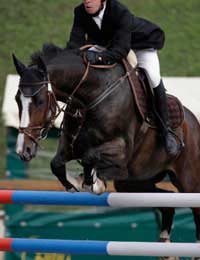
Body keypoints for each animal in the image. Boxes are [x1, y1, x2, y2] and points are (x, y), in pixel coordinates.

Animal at [12, 43, 200, 258]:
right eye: (17, 99)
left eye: (40, 101)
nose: (24, 150)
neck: (89, 95)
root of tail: (194, 121)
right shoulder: (70, 144)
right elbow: (57, 163)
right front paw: (75, 183)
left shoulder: (119, 148)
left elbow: (89, 157)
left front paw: (92, 183)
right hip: (132, 182)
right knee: (167, 201)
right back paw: (165, 246)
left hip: (188, 182)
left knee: (195, 209)